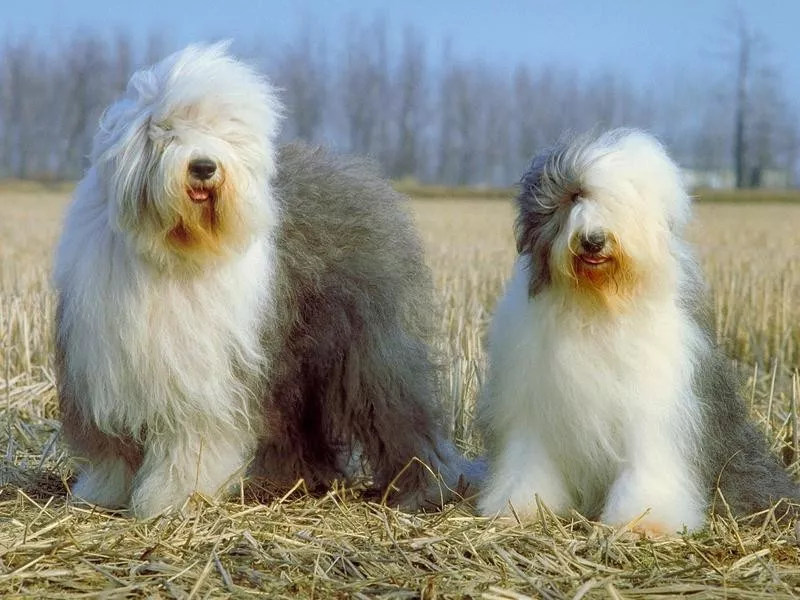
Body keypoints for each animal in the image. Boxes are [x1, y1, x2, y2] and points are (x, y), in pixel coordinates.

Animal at [57, 43, 482, 520]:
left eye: (223, 134)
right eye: (166, 130)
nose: (203, 167)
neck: (175, 252)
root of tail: (361, 174)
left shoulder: (203, 381)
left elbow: (190, 443)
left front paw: (172, 499)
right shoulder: (108, 368)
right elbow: (113, 448)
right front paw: (102, 493)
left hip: (372, 353)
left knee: (405, 419)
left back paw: (424, 491)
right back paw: (300, 480)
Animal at [478, 129, 796, 532]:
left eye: (620, 204)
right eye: (574, 197)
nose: (593, 240)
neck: (597, 305)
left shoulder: (653, 409)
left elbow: (648, 463)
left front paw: (645, 521)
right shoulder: (532, 404)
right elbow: (528, 460)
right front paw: (519, 507)